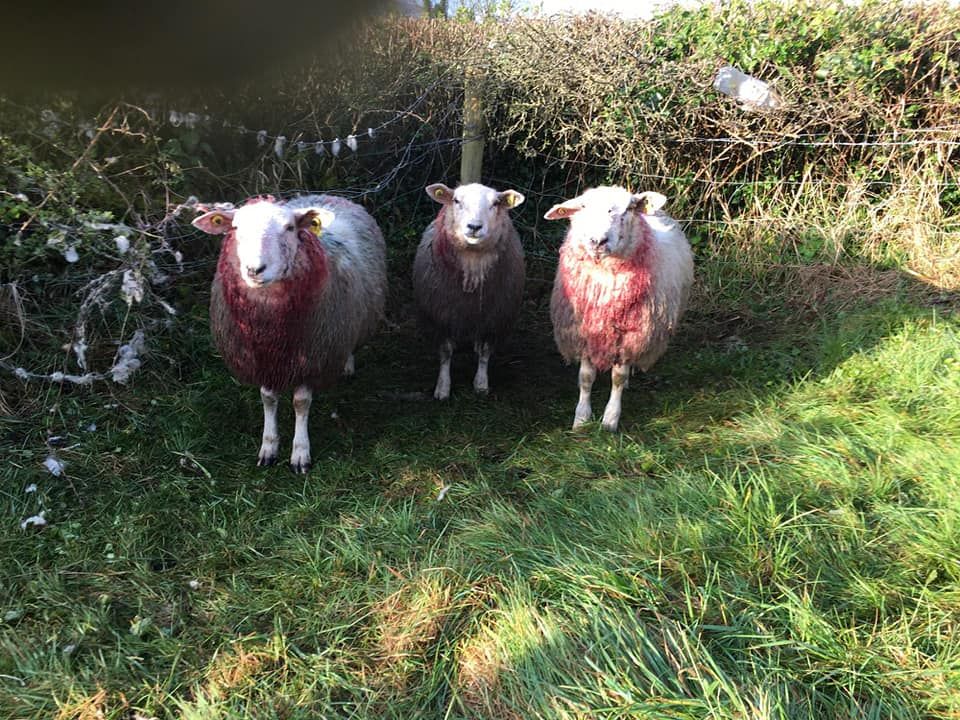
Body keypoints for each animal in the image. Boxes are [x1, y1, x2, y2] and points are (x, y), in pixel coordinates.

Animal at [192, 194, 386, 473]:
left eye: (289, 228)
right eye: (236, 228)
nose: (254, 269)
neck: (271, 325)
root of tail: (329, 196)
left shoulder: (312, 357)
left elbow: (301, 403)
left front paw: (300, 452)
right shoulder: (262, 358)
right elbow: (268, 399)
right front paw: (269, 447)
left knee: (350, 343)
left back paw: (347, 365)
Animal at [412, 182, 526, 400]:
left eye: (495, 203)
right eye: (457, 201)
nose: (474, 227)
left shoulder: (493, 318)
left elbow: (485, 352)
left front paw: (481, 384)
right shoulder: (442, 316)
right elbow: (446, 352)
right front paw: (443, 387)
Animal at [545, 186, 693, 432]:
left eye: (627, 210)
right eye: (583, 207)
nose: (598, 241)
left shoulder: (630, 333)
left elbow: (618, 378)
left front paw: (610, 420)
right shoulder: (585, 330)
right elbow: (586, 377)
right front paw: (581, 419)